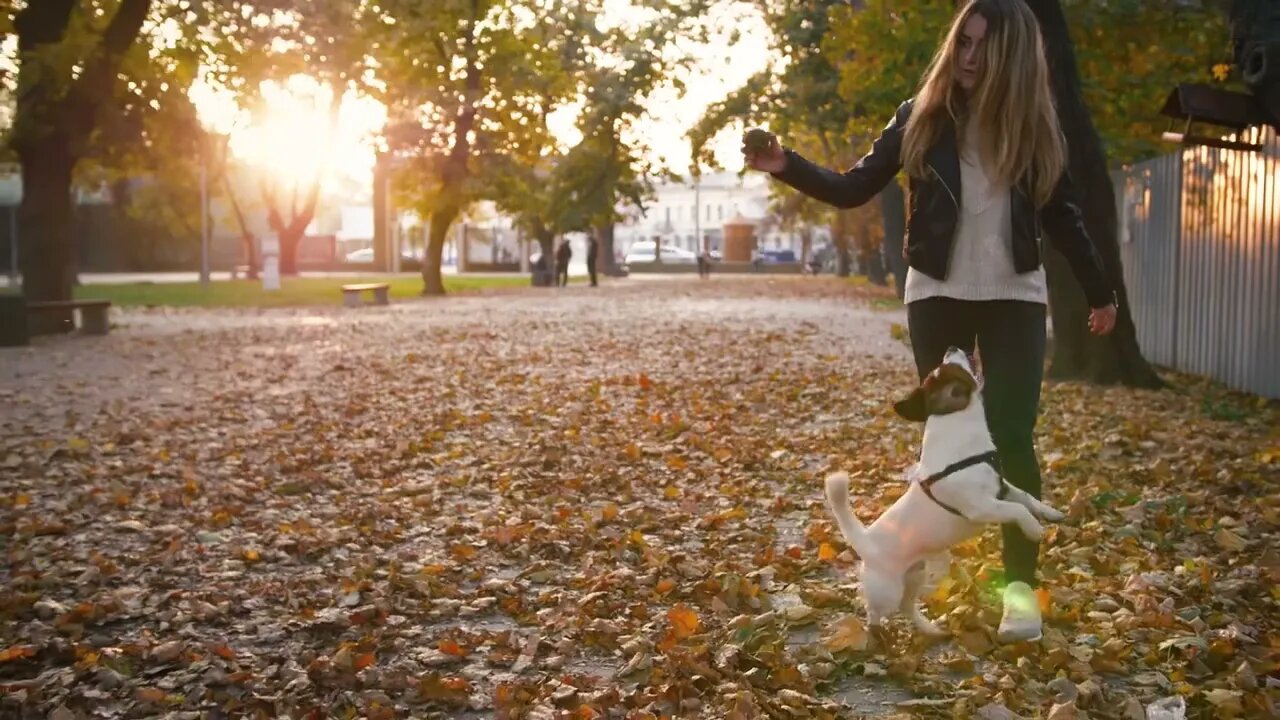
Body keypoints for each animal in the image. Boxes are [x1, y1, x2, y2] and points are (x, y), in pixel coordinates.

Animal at [824, 345, 1064, 632]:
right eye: (949, 368)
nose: (953, 347)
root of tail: (866, 541)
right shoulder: (981, 507)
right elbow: (1016, 510)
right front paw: (1033, 528)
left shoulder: (1002, 487)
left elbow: (1026, 498)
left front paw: (1049, 513)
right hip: (887, 590)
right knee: (876, 611)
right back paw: (877, 632)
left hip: (915, 574)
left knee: (907, 607)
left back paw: (929, 629)